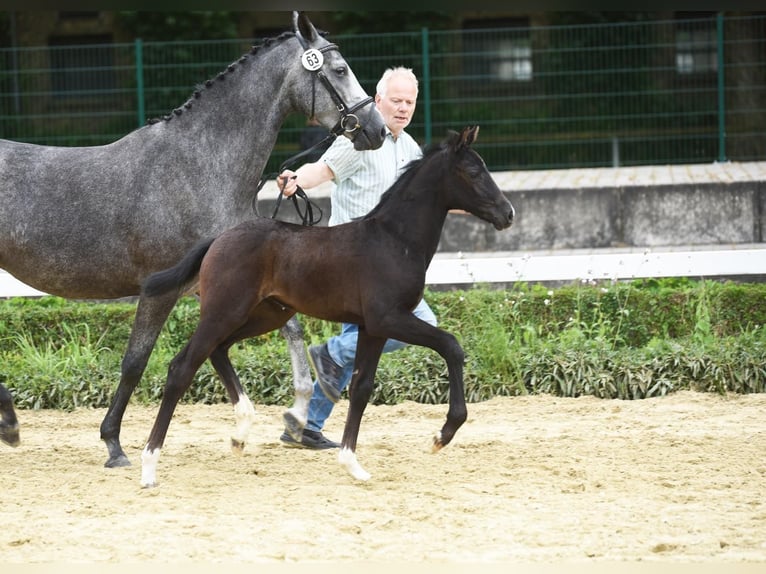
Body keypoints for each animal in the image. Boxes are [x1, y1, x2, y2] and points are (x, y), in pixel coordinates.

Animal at [0, 11, 388, 468]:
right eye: (340, 70)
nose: (378, 129)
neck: (196, 166)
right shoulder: (161, 290)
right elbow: (135, 361)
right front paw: (113, 444)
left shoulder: (227, 285)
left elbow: (276, 332)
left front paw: (289, 415)